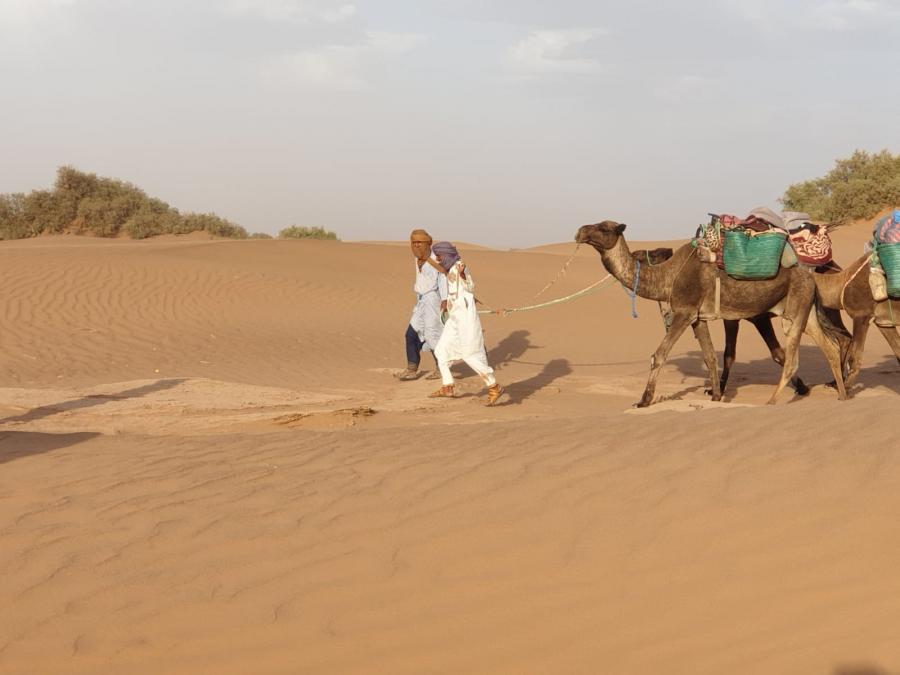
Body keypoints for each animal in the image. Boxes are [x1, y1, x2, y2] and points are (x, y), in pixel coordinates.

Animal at [572, 222, 848, 406]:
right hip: (805, 311)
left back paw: (773, 401)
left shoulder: (684, 313)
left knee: (794, 358)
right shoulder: (698, 318)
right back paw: (842, 395)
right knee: (830, 346)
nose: (580, 231)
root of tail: (810, 273)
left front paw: (644, 400)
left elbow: (659, 355)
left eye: (604, 228)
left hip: (796, 310)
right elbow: (710, 357)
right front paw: (716, 395)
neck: (668, 277)